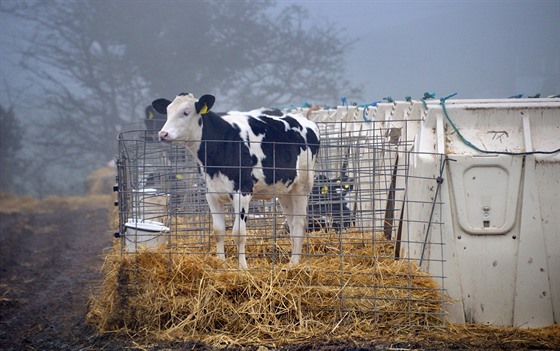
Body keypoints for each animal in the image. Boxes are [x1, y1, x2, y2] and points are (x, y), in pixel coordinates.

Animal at [152, 93, 320, 270]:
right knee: (292, 222)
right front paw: (220, 262)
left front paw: (242, 267)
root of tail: (306, 121)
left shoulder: (242, 193)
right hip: (284, 191)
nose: (163, 134)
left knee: (299, 223)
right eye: (168, 111)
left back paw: (294, 263)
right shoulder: (211, 194)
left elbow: (239, 233)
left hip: (302, 186)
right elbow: (218, 231)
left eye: (186, 112)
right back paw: (292, 260)